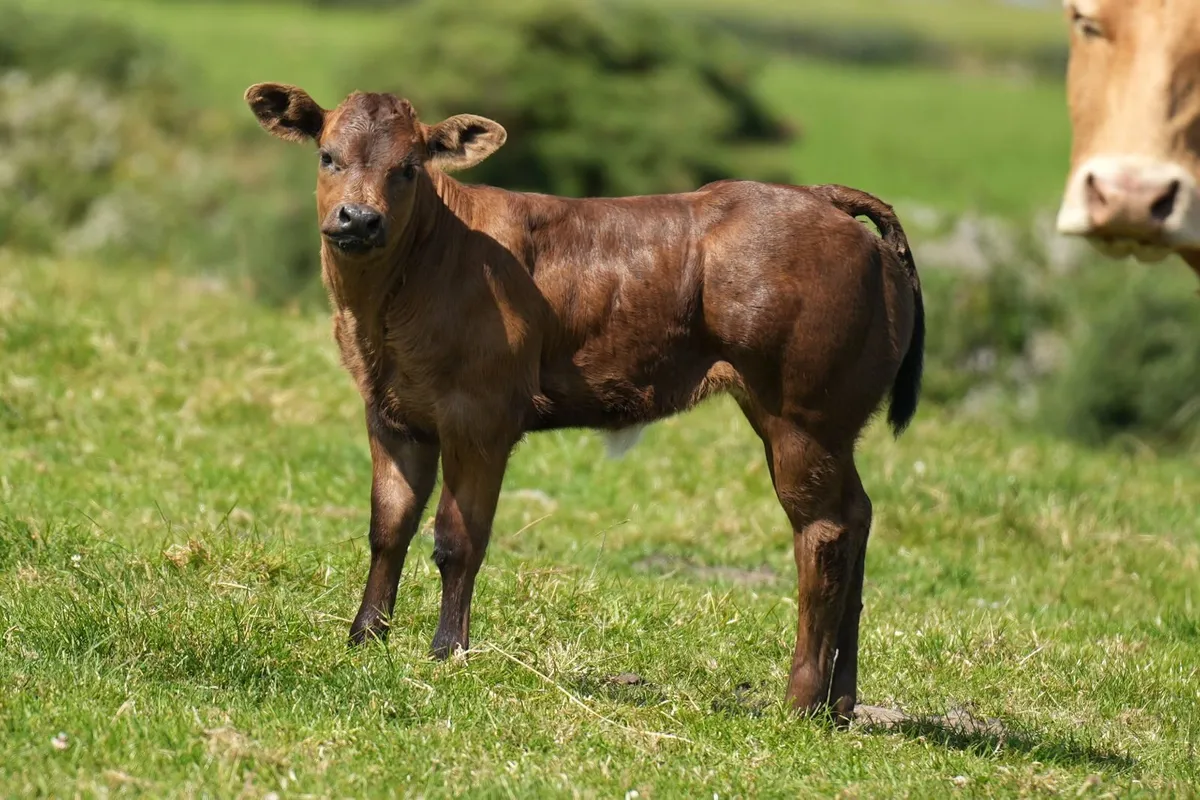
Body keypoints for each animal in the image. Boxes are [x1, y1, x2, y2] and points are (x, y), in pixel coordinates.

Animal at [244, 81, 925, 723]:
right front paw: (365, 638)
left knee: (824, 533)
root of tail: (817, 195)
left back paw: (800, 703)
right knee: (858, 518)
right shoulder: (391, 413)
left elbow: (458, 539)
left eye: (409, 167)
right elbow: (389, 527)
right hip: (828, 425)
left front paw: (447, 651)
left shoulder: (480, 416)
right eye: (328, 155)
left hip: (802, 415)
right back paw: (841, 703)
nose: (359, 219)